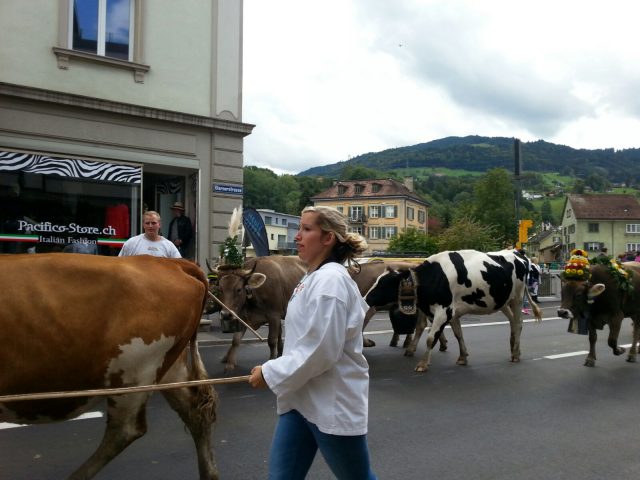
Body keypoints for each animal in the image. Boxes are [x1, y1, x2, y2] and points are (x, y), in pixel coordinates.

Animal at [364, 249, 540, 374]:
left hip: (517, 298)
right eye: (377, 281)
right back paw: (515, 348)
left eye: (385, 284)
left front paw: (422, 364)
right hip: (502, 301)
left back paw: (515, 353)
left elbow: (430, 338)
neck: (434, 277)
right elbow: (458, 334)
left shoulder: (444, 311)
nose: (365, 298)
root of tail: (517, 252)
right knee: (512, 322)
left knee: (518, 323)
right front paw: (462, 357)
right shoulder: (451, 311)